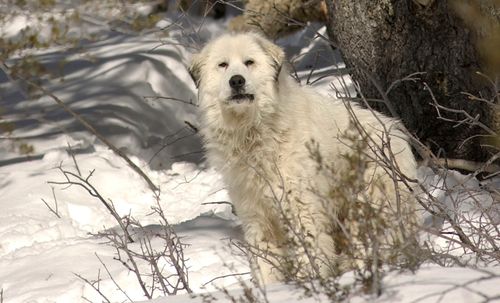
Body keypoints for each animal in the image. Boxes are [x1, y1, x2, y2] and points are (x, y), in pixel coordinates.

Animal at [189, 32, 420, 284]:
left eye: (249, 62)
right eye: (223, 65)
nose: (237, 81)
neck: (256, 130)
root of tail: (395, 131)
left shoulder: (302, 208)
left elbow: (311, 255)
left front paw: (311, 285)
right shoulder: (257, 215)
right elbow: (265, 262)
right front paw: (273, 289)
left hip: (370, 206)